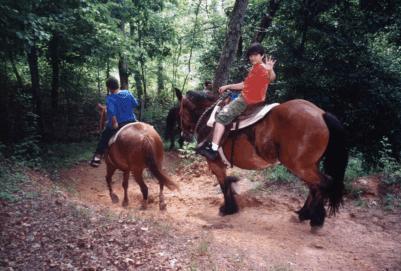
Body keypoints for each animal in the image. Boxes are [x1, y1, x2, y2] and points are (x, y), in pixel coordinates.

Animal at [178, 90, 346, 231]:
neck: (209, 118)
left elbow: (224, 184)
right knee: (314, 187)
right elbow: (228, 182)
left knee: (324, 183)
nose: (184, 135)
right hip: (307, 166)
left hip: (299, 166)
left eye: (180, 111)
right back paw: (304, 214)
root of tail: (321, 113)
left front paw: (228, 209)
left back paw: (316, 220)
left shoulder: (215, 163)